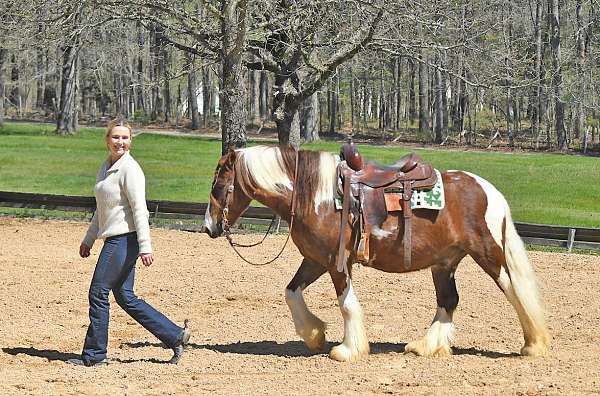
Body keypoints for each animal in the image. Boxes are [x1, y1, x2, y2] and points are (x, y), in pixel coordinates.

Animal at [204, 145, 552, 362]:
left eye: (217, 185)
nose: (209, 227)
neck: (313, 196)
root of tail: (487, 189)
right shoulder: (315, 259)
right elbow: (291, 292)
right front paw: (314, 335)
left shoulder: (336, 263)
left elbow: (346, 305)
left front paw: (348, 349)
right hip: (444, 262)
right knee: (448, 300)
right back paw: (426, 346)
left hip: (488, 254)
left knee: (515, 291)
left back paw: (534, 344)